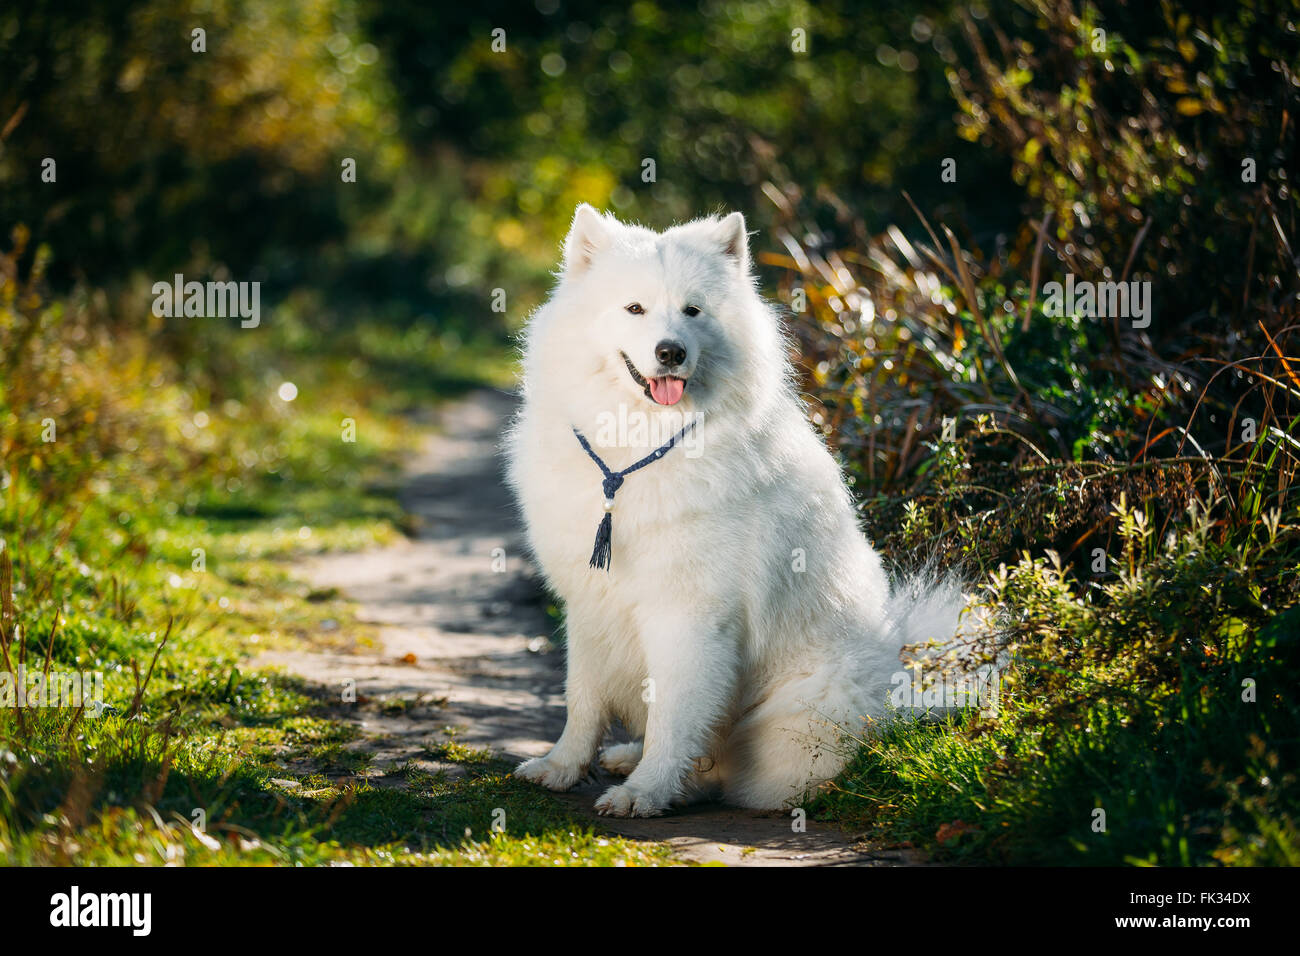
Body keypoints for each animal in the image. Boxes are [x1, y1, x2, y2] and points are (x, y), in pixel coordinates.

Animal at [504, 204, 977, 816]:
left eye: (692, 310)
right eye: (634, 309)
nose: (671, 352)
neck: (634, 457)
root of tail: (904, 683)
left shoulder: (690, 618)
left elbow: (674, 719)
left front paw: (645, 792)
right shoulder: (588, 603)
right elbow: (582, 700)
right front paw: (562, 767)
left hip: (796, 721)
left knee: (725, 770)